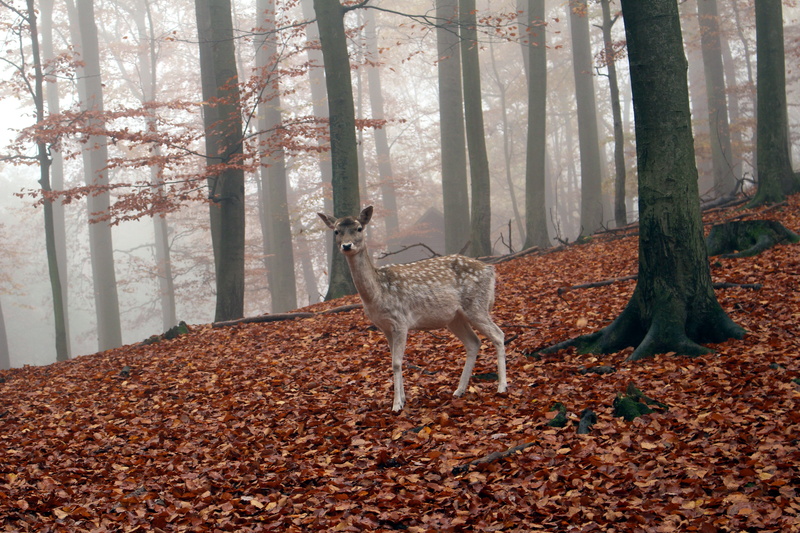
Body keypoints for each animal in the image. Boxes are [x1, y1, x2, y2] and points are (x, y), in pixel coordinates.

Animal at [318, 206, 507, 412]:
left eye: (359, 228)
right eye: (336, 231)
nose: (347, 245)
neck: (377, 293)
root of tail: (490, 269)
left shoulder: (400, 321)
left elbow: (397, 363)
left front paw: (396, 405)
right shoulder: (384, 327)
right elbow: (393, 361)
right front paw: (402, 399)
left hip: (476, 305)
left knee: (498, 335)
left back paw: (502, 387)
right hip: (455, 318)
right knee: (473, 342)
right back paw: (459, 390)